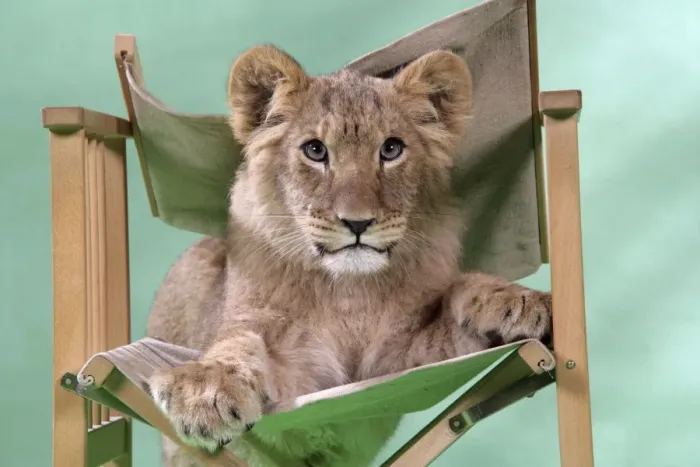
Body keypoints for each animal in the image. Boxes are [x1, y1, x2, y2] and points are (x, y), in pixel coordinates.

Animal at [145, 45, 552, 467]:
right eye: (315, 150)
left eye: (391, 149)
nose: (358, 222)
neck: (349, 295)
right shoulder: (303, 382)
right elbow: (240, 344)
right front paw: (205, 391)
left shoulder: (397, 364)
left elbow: (463, 294)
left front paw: (520, 302)